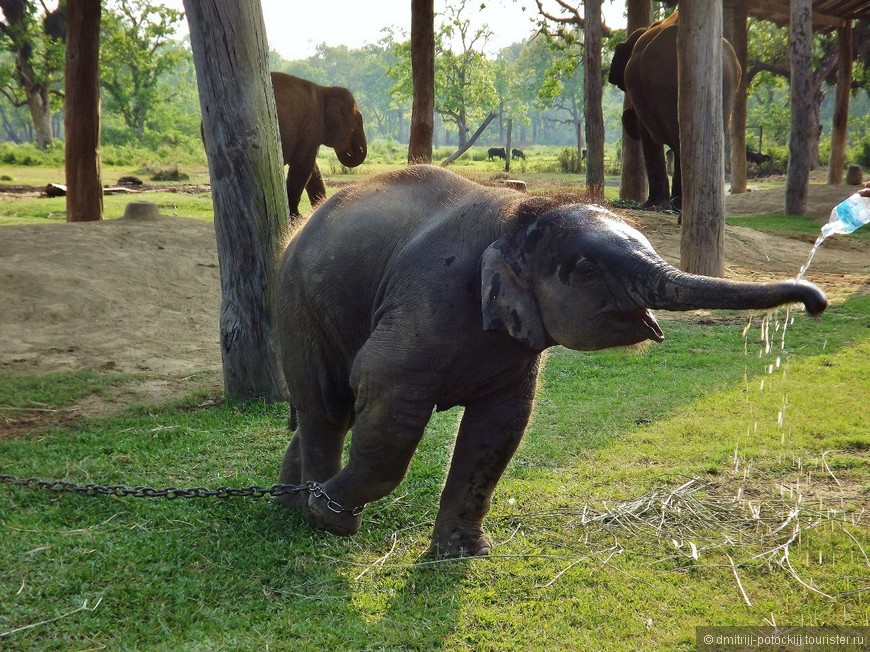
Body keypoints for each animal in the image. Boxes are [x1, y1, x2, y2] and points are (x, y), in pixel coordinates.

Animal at [272, 72, 368, 216]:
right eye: (359, 120)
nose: (349, 148)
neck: (324, 90)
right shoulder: (310, 125)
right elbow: (303, 165)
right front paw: (296, 216)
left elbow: (312, 169)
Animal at [276, 166, 828, 556]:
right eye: (585, 269)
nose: (816, 303)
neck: (521, 212)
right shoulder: (428, 297)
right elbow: (385, 397)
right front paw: (330, 518)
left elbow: (500, 426)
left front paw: (463, 555)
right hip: (298, 303)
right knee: (327, 405)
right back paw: (314, 512)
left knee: (329, 408)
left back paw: (286, 502)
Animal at [608, 11, 744, 210]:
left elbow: (646, 134)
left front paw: (651, 205)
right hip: (723, 86)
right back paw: (682, 204)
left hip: (662, 82)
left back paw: (677, 204)